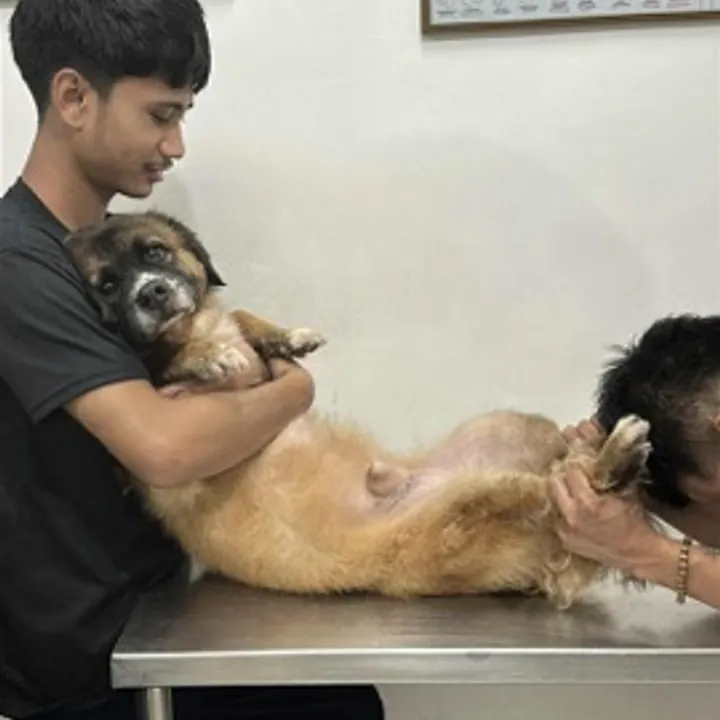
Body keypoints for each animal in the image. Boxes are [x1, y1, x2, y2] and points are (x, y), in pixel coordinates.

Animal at [63, 211, 653, 609]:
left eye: (154, 252)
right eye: (107, 286)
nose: (152, 294)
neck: (193, 325)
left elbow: (248, 319)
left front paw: (285, 336)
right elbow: (170, 361)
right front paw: (211, 356)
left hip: (513, 429)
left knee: (567, 471)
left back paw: (602, 447)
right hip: (471, 508)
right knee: (558, 491)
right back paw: (614, 456)